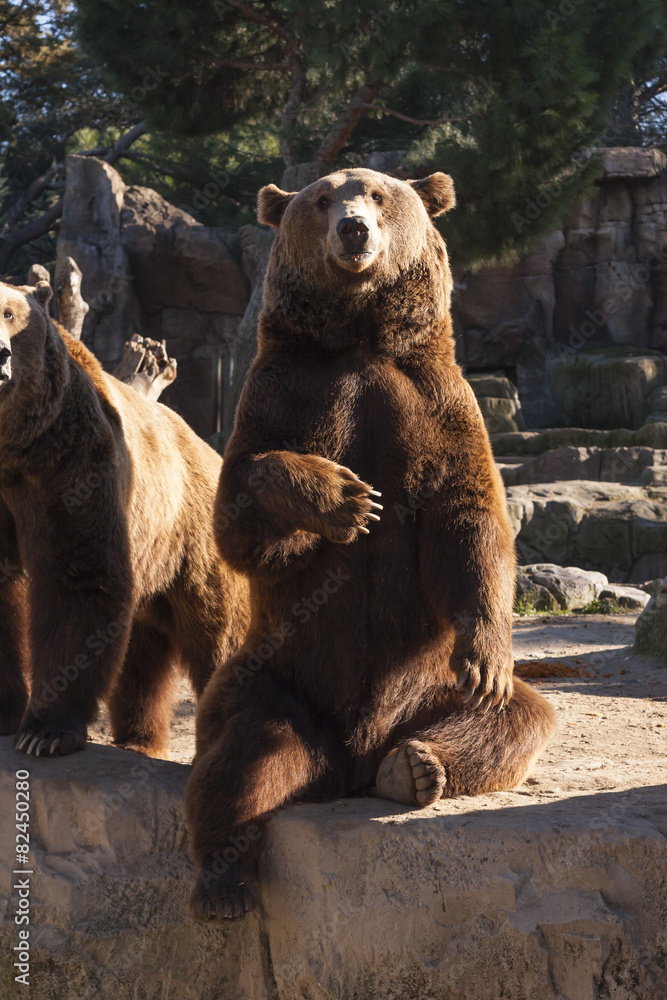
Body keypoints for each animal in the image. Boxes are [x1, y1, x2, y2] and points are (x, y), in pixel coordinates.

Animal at [0, 279, 249, 758]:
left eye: (8, 313)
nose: (0, 356)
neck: (7, 449)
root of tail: (207, 449)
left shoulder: (67, 459)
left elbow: (76, 576)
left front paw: (45, 731)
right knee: (140, 658)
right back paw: (139, 740)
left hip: (192, 542)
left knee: (221, 634)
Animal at [184, 167, 556, 920]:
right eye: (322, 199)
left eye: (379, 195)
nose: (353, 229)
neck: (358, 340)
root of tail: (348, 760)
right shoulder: (283, 394)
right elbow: (243, 513)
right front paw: (345, 498)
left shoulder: (435, 403)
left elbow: (469, 521)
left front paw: (486, 657)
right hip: (275, 675)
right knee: (245, 755)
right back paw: (223, 883)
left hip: (426, 686)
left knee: (514, 718)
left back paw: (416, 767)